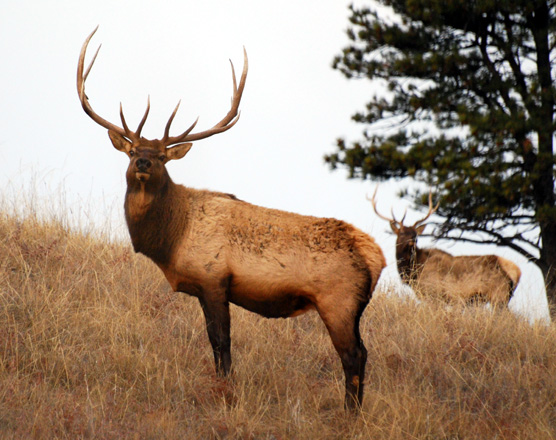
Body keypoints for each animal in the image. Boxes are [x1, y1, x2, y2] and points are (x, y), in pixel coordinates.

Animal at [370, 188, 520, 306]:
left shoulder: (433, 293)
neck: (414, 271)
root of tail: (516, 272)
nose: (413, 241)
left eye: (414, 234)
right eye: (401, 233)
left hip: (498, 295)